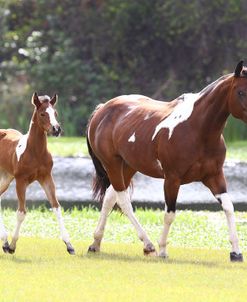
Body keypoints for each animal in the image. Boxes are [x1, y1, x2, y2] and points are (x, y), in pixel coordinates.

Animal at [0, 93, 75, 254]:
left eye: (55, 113)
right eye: (42, 114)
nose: (56, 129)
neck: (35, 152)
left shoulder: (46, 178)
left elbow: (56, 207)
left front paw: (69, 245)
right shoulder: (21, 181)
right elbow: (21, 212)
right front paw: (13, 245)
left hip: (6, 178)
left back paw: (4, 241)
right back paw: (6, 242)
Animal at [86, 60, 247, 260]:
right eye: (241, 92)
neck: (197, 130)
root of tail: (102, 109)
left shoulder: (214, 177)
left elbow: (229, 207)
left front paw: (236, 252)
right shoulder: (172, 179)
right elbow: (169, 214)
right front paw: (162, 249)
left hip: (128, 167)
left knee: (109, 197)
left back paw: (96, 243)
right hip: (112, 164)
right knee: (123, 201)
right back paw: (148, 245)